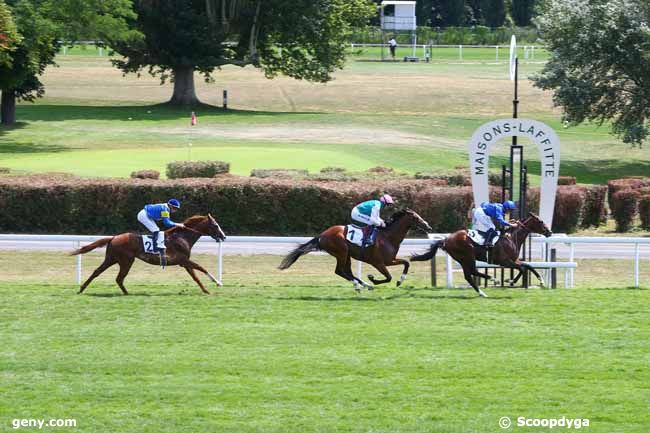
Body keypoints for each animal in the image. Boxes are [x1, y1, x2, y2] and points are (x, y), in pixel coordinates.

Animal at [70, 214, 227, 296]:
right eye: (216, 225)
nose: (224, 236)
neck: (182, 236)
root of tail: (113, 237)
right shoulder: (183, 260)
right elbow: (201, 268)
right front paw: (218, 283)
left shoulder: (183, 262)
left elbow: (195, 277)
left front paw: (206, 290)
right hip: (126, 261)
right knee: (119, 278)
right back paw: (127, 293)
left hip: (112, 259)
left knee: (98, 272)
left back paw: (82, 289)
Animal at [274, 208, 430, 290]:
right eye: (416, 218)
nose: (428, 226)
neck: (388, 237)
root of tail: (322, 235)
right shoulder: (378, 262)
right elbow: (388, 277)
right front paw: (372, 279)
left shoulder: (390, 260)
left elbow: (406, 263)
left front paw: (400, 281)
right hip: (341, 252)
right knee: (339, 271)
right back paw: (361, 284)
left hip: (346, 254)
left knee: (346, 271)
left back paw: (364, 284)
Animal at [410, 213, 548, 296]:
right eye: (541, 221)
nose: (550, 232)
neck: (511, 237)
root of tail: (446, 240)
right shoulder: (504, 261)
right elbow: (522, 269)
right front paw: (510, 281)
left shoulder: (514, 260)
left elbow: (528, 266)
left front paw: (541, 282)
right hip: (467, 256)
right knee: (472, 273)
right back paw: (492, 282)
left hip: (463, 259)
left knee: (470, 275)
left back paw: (483, 290)